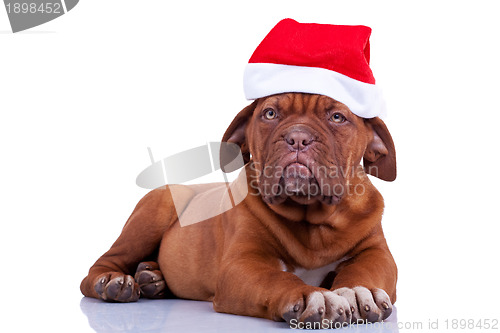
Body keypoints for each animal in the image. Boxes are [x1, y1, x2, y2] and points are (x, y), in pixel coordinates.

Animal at [80, 92, 396, 326]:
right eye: (270, 114)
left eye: (337, 117)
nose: (297, 137)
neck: (310, 216)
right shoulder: (242, 264)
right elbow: (277, 276)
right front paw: (312, 295)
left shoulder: (376, 252)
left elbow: (365, 268)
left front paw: (356, 292)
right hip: (154, 211)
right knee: (100, 267)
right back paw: (114, 282)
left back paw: (152, 278)